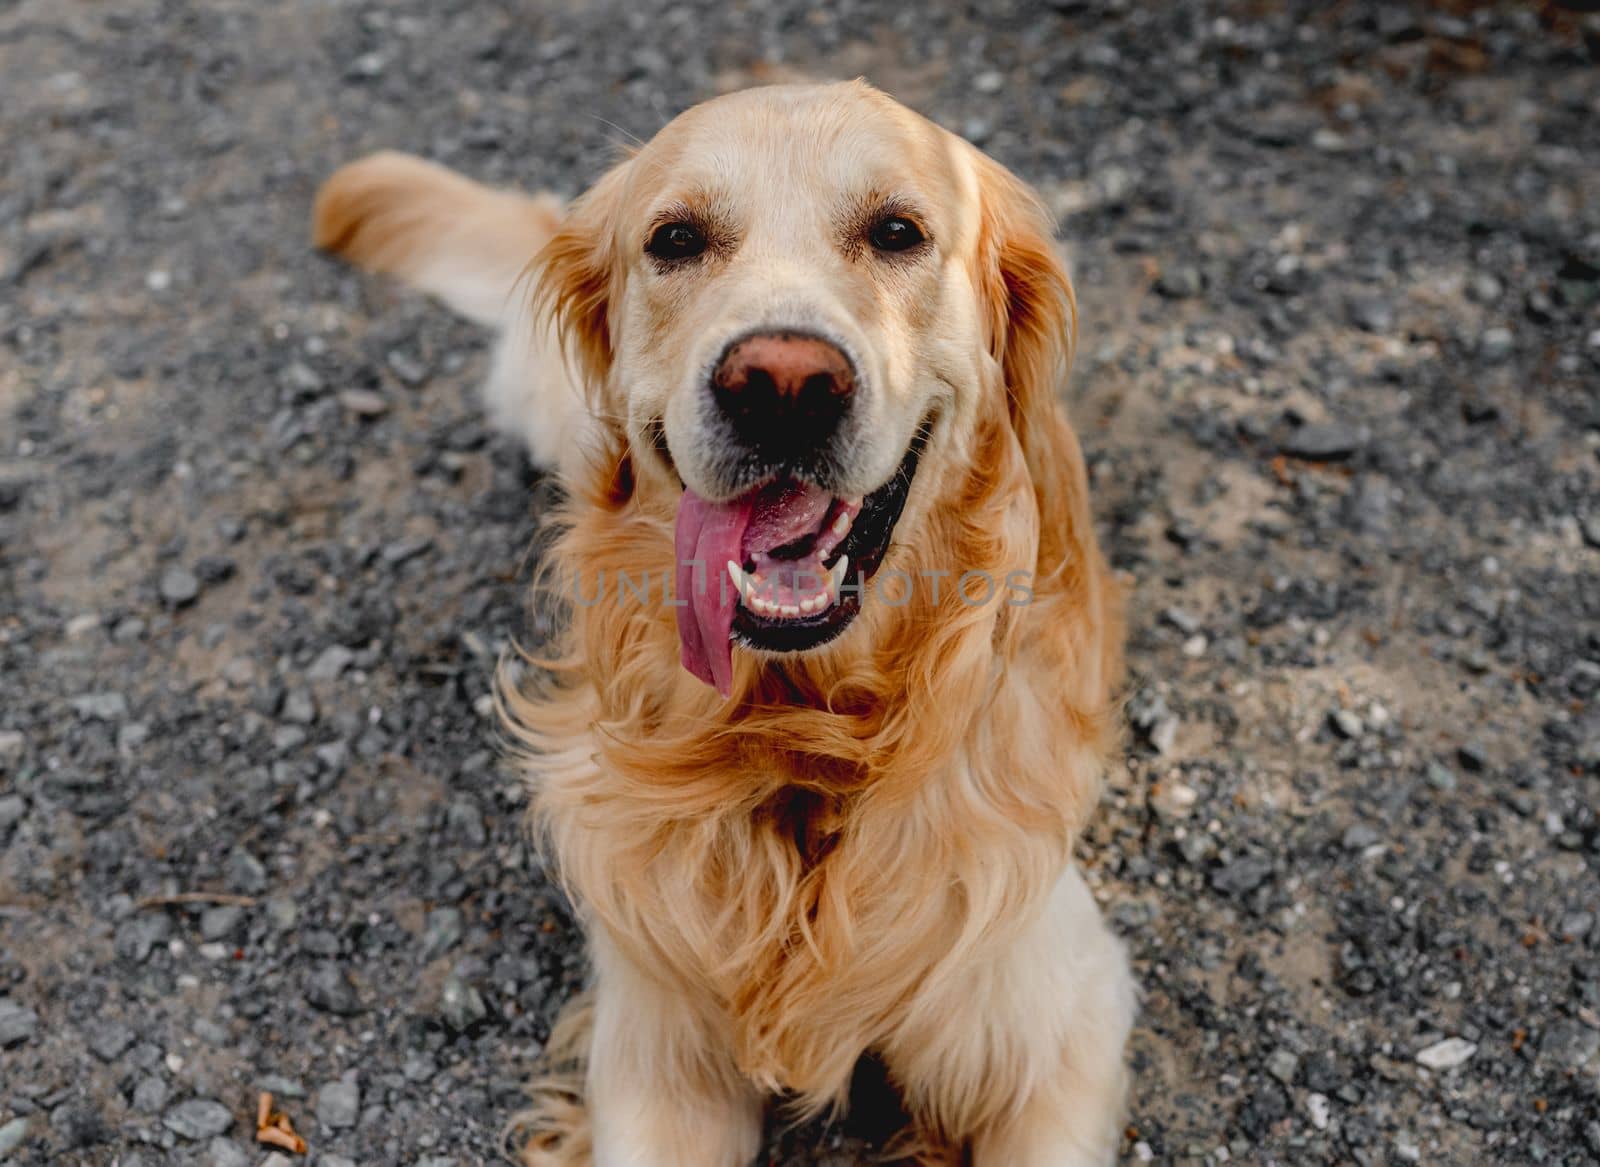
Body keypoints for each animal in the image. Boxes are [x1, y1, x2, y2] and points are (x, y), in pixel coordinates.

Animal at [312, 77, 1132, 1158]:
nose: (783, 384)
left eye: (898, 232)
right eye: (675, 239)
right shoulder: (657, 1048)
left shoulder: (1059, 1023)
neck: (807, 745)